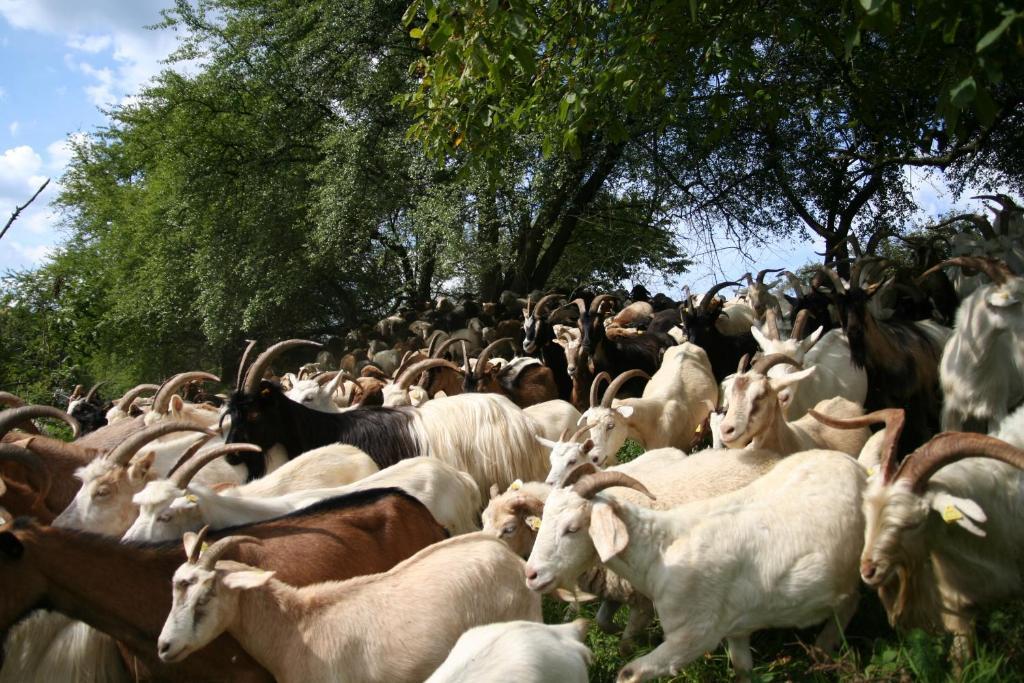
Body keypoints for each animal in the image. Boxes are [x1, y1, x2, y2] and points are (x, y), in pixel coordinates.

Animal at [524, 450, 868, 679]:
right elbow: (743, 670)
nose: (531, 575)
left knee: (849, 606)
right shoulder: (736, 629)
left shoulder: (692, 636)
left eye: (572, 528)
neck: (658, 552)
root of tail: (849, 461)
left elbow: (630, 672)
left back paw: (824, 652)